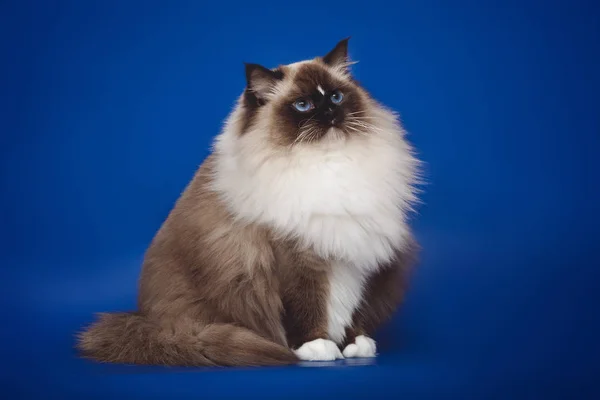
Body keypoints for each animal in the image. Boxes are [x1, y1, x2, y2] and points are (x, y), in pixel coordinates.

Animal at [76, 39, 422, 368]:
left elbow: (352, 307)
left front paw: (354, 344)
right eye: (303, 105)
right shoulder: (296, 257)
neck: (327, 165)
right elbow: (306, 306)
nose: (330, 115)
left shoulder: (358, 254)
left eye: (336, 97)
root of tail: (151, 322)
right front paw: (316, 347)